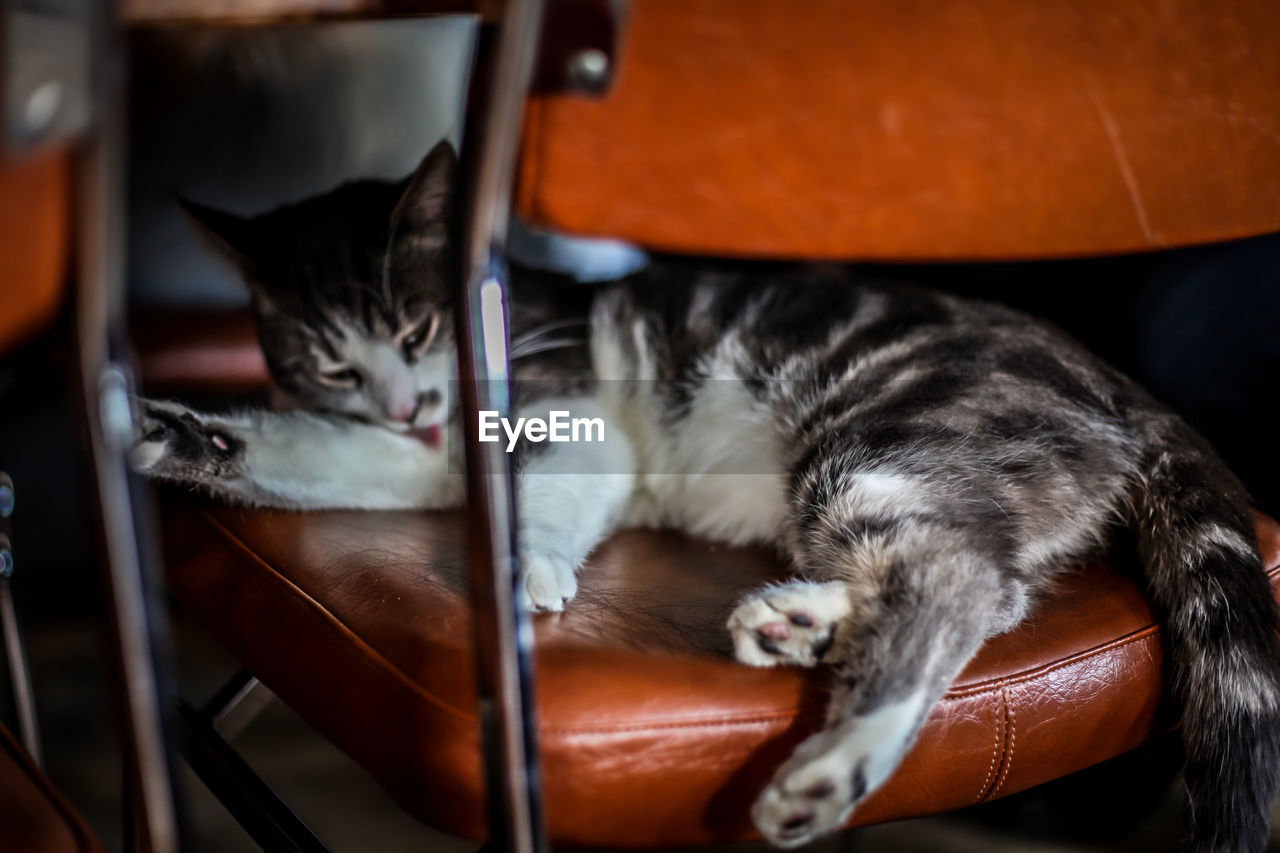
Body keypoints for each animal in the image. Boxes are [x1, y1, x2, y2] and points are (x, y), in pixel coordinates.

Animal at [132, 142, 1280, 845]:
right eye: (331, 363)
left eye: (418, 329)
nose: (407, 401)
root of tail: (1120, 384)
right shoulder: (413, 456)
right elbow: (329, 454)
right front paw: (166, 431)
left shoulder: (568, 411)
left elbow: (543, 493)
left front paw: (523, 565)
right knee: (983, 578)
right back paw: (799, 621)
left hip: (883, 431)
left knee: (951, 576)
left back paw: (832, 762)